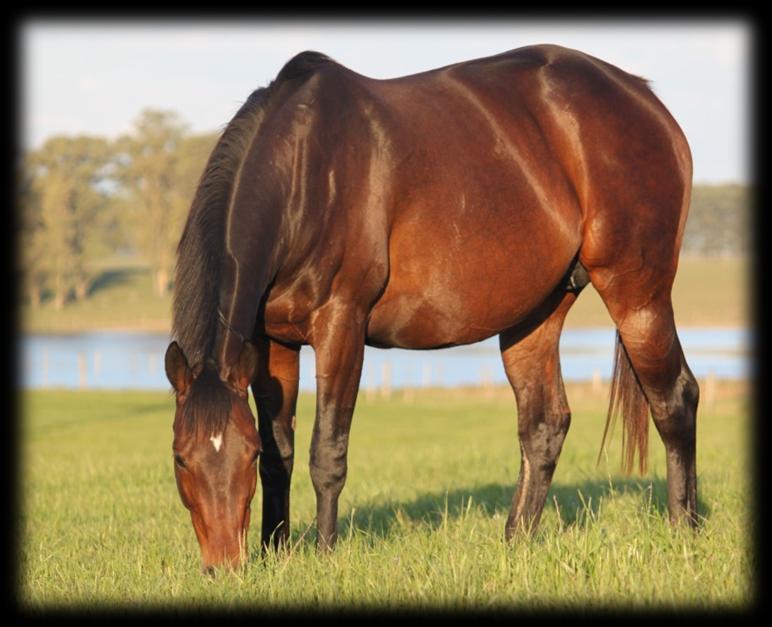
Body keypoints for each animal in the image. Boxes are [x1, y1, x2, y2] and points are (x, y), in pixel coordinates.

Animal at [164, 45, 700, 576]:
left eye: (244, 456)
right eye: (180, 458)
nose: (223, 566)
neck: (304, 171)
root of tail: (646, 102)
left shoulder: (342, 325)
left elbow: (326, 452)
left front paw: (324, 555)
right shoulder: (272, 339)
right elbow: (282, 453)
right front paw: (275, 551)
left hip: (637, 293)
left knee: (675, 398)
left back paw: (684, 529)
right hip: (536, 313)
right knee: (545, 424)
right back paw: (516, 542)